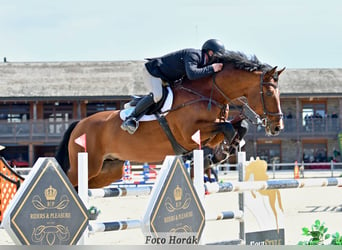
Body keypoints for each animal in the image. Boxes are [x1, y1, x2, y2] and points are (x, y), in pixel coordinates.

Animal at [56, 51, 286, 188]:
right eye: (268, 93)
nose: (277, 127)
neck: (207, 92)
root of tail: (79, 124)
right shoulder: (189, 134)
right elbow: (228, 128)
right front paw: (219, 154)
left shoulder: (210, 132)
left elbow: (239, 127)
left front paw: (222, 152)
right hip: (87, 164)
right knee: (70, 179)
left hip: (108, 170)